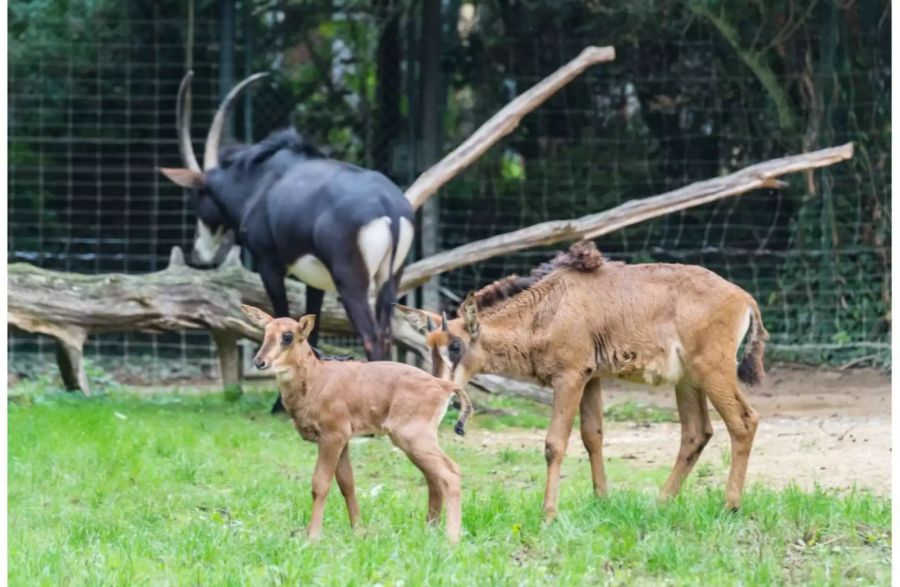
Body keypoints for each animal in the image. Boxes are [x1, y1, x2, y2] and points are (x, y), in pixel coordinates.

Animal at [162, 72, 414, 414]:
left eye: (198, 197)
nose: (199, 254)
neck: (260, 179)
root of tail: (388, 205)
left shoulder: (269, 264)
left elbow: (282, 318)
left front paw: (279, 405)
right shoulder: (316, 281)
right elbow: (310, 327)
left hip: (351, 281)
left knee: (373, 337)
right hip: (389, 279)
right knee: (386, 334)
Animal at [243, 306, 474, 544]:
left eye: (288, 336)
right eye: (266, 332)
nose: (260, 362)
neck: (318, 377)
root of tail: (444, 385)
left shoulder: (332, 437)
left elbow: (320, 484)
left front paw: (313, 536)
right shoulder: (343, 441)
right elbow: (347, 484)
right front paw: (359, 530)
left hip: (413, 438)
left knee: (450, 473)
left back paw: (452, 537)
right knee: (434, 477)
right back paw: (430, 530)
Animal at [398, 241, 768, 520]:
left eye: (456, 345)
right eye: (430, 346)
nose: (441, 388)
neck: (549, 307)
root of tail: (743, 297)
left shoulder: (570, 377)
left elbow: (554, 444)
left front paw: (548, 513)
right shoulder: (592, 379)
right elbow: (593, 436)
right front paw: (601, 500)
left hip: (713, 370)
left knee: (743, 421)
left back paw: (729, 506)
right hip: (687, 381)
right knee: (696, 432)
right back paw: (661, 502)